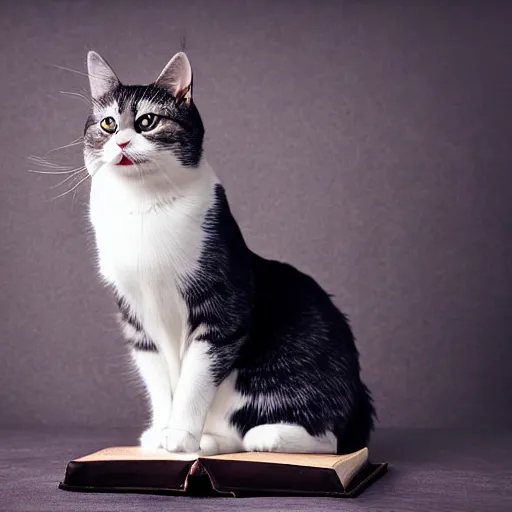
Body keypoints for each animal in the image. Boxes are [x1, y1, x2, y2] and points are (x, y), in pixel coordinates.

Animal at [83, 50, 372, 454]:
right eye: (108, 123)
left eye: (147, 121)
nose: (121, 142)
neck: (143, 206)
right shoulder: (136, 318)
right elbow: (158, 381)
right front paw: (162, 433)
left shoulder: (222, 309)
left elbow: (193, 381)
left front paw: (179, 434)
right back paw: (207, 442)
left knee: (328, 439)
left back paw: (263, 436)